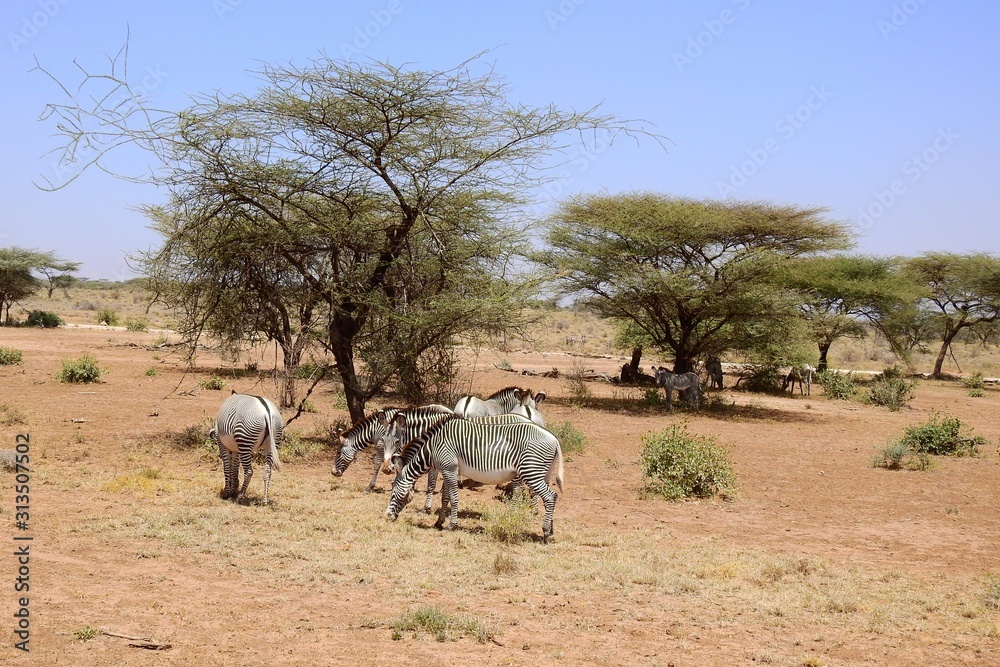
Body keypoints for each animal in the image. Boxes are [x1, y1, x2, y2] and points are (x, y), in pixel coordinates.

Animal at [382, 412, 564, 544]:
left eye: (393, 492)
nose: (387, 516)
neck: (432, 447)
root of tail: (554, 439)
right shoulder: (449, 470)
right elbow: (445, 497)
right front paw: (439, 522)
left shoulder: (449, 469)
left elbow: (453, 498)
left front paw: (451, 525)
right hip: (542, 473)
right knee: (548, 498)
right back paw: (551, 531)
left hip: (531, 472)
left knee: (550, 496)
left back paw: (545, 532)